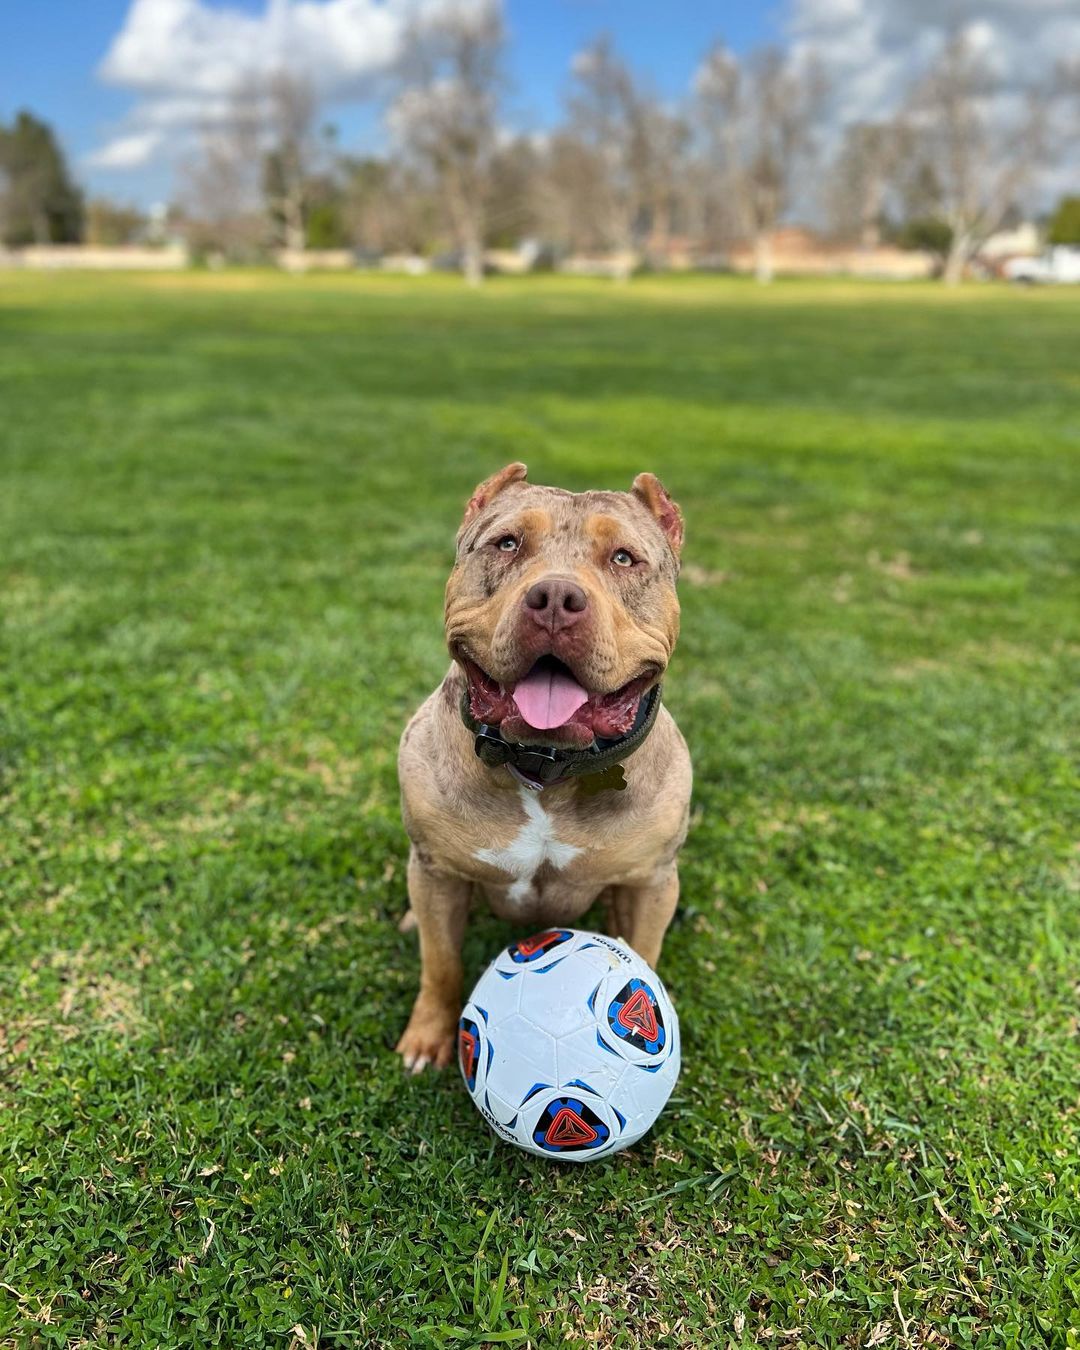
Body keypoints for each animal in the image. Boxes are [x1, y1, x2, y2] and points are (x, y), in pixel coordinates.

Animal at [396, 467, 691, 1074]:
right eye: (507, 544)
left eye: (624, 558)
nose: (556, 597)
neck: (543, 766)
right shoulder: (437, 873)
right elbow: (440, 964)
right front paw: (427, 1039)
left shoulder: (650, 883)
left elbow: (643, 954)